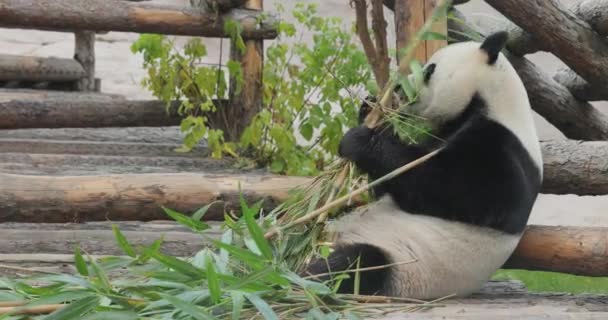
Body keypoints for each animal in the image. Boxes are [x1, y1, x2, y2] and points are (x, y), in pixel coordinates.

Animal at [302, 31, 544, 300]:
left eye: (429, 70)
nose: (398, 88)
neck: (497, 103)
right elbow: (387, 187)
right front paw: (371, 109)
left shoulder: (502, 151)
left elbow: (441, 188)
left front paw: (360, 140)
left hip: (402, 263)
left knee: (355, 264)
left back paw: (297, 276)